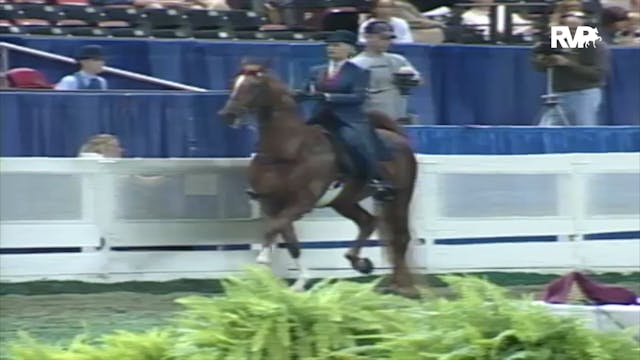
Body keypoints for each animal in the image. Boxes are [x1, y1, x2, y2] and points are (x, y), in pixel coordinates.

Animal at [220, 67, 420, 296]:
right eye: (234, 83)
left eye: (254, 86)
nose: (227, 114)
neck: (288, 149)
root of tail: (397, 137)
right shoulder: (272, 203)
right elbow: (288, 236)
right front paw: (299, 283)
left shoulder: (301, 203)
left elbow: (274, 227)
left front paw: (263, 258)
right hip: (344, 201)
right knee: (368, 222)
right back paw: (360, 263)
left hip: (400, 197)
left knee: (400, 237)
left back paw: (403, 287)